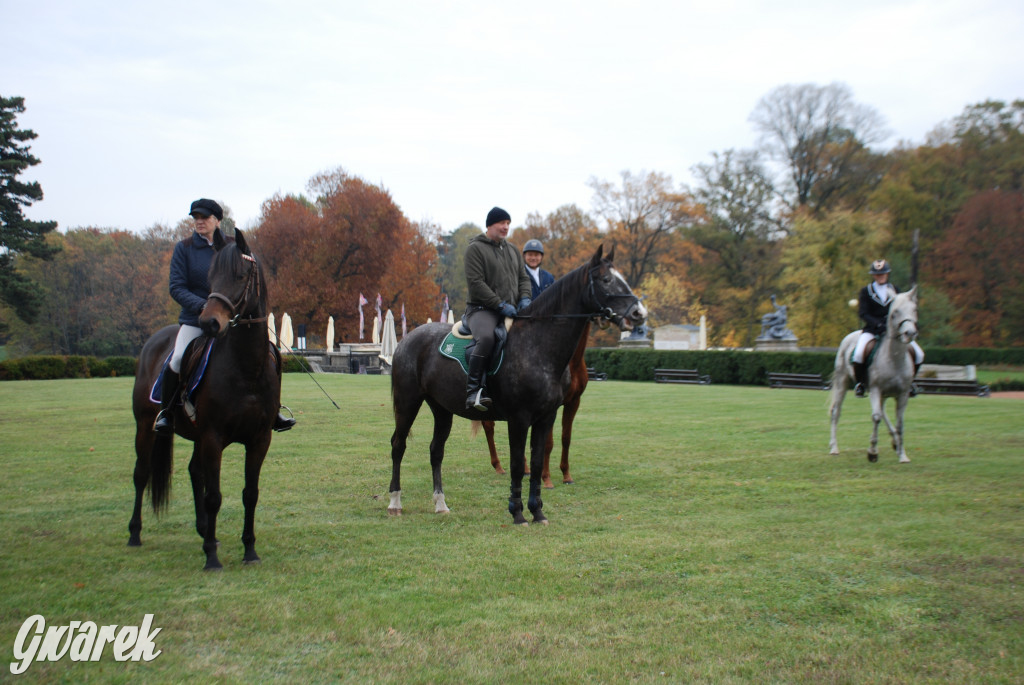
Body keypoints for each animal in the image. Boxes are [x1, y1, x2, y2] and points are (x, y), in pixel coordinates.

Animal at [128, 227, 280, 569]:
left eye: (240, 275)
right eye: (211, 276)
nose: (209, 322)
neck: (247, 368)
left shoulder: (259, 438)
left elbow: (250, 493)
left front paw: (249, 550)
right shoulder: (213, 436)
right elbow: (214, 496)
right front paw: (211, 557)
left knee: (194, 472)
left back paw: (202, 530)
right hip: (146, 426)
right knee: (141, 474)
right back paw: (135, 533)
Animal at [479, 321, 593, 485]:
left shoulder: (573, 402)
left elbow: (566, 438)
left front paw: (566, 474)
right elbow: (548, 443)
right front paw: (546, 477)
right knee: (489, 427)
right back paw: (499, 465)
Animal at [831, 286, 921, 462]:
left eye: (914, 309)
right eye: (895, 312)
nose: (909, 334)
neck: (894, 358)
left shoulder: (902, 394)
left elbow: (899, 423)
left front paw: (903, 455)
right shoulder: (875, 389)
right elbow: (876, 417)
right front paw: (872, 452)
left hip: (884, 393)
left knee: (883, 411)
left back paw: (895, 442)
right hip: (842, 382)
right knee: (836, 412)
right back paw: (834, 447)